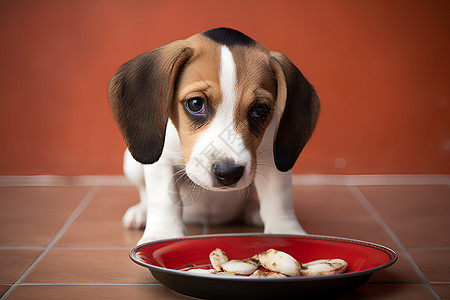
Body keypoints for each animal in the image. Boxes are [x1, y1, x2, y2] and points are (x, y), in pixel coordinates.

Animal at [108, 27, 320, 244]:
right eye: (195, 104)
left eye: (261, 109)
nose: (228, 173)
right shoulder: (161, 160)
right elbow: (163, 199)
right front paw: (162, 234)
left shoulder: (273, 159)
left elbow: (279, 199)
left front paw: (286, 232)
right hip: (131, 163)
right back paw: (141, 212)